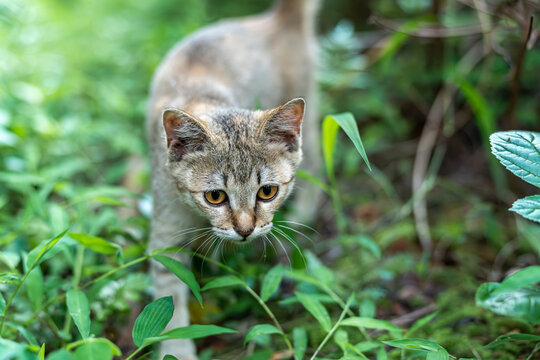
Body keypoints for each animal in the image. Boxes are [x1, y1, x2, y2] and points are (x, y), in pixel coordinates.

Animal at [146, 0, 318, 358]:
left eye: (267, 192)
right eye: (215, 196)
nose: (245, 230)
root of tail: (274, 19)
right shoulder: (165, 238)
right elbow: (170, 302)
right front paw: (177, 349)